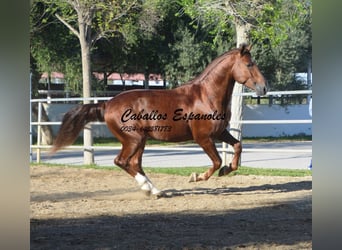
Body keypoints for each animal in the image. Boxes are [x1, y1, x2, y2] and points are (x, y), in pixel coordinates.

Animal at [51, 44, 268, 196]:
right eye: (249, 64)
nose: (264, 88)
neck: (206, 96)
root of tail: (107, 105)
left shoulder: (220, 132)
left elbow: (238, 146)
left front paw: (227, 170)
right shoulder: (203, 138)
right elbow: (216, 161)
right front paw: (196, 177)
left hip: (140, 141)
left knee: (134, 163)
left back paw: (154, 191)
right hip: (134, 140)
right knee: (121, 161)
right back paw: (148, 188)